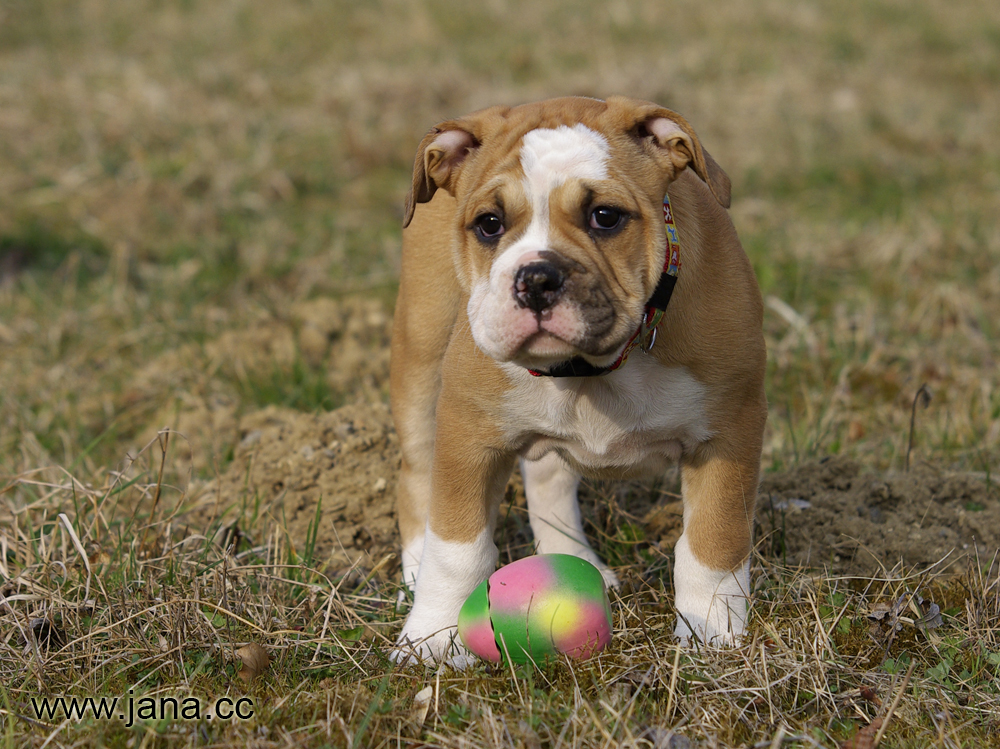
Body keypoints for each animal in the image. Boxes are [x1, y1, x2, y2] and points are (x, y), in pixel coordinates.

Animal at [388, 96, 764, 664]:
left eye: (604, 217)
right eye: (489, 224)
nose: (537, 277)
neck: (592, 367)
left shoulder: (728, 433)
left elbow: (713, 541)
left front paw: (710, 632)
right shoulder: (468, 435)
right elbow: (457, 546)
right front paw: (431, 640)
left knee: (548, 475)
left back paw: (571, 555)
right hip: (422, 350)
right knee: (416, 469)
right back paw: (414, 566)